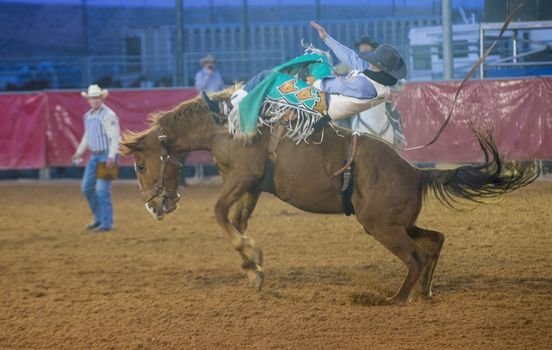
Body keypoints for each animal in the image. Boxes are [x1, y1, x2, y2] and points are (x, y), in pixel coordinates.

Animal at [121, 88, 540, 304]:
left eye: (139, 166)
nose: (154, 205)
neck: (223, 124)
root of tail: (416, 172)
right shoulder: (252, 186)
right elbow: (236, 220)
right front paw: (253, 269)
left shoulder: (243, 177)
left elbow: (221, 214)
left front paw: (251, 256)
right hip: (398, 223)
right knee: (435, 240)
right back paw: (425, 291)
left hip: (382, 227)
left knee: (417, 255)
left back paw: (397, 298)